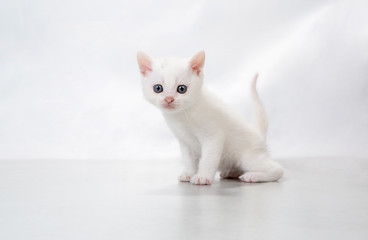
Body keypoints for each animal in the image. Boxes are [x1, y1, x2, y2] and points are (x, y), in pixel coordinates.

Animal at [137, 50, 284, 186]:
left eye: (182, 89)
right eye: (158, 88)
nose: (169, 99)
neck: (182, 115)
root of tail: (258, 135)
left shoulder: (214, 136)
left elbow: (208, 158)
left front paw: (202, 176)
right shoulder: (185, 142)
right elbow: (189, 160)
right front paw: (188, 173)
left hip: (248, 158)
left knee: (278, 169)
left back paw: (253, 176)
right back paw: (232, 172)